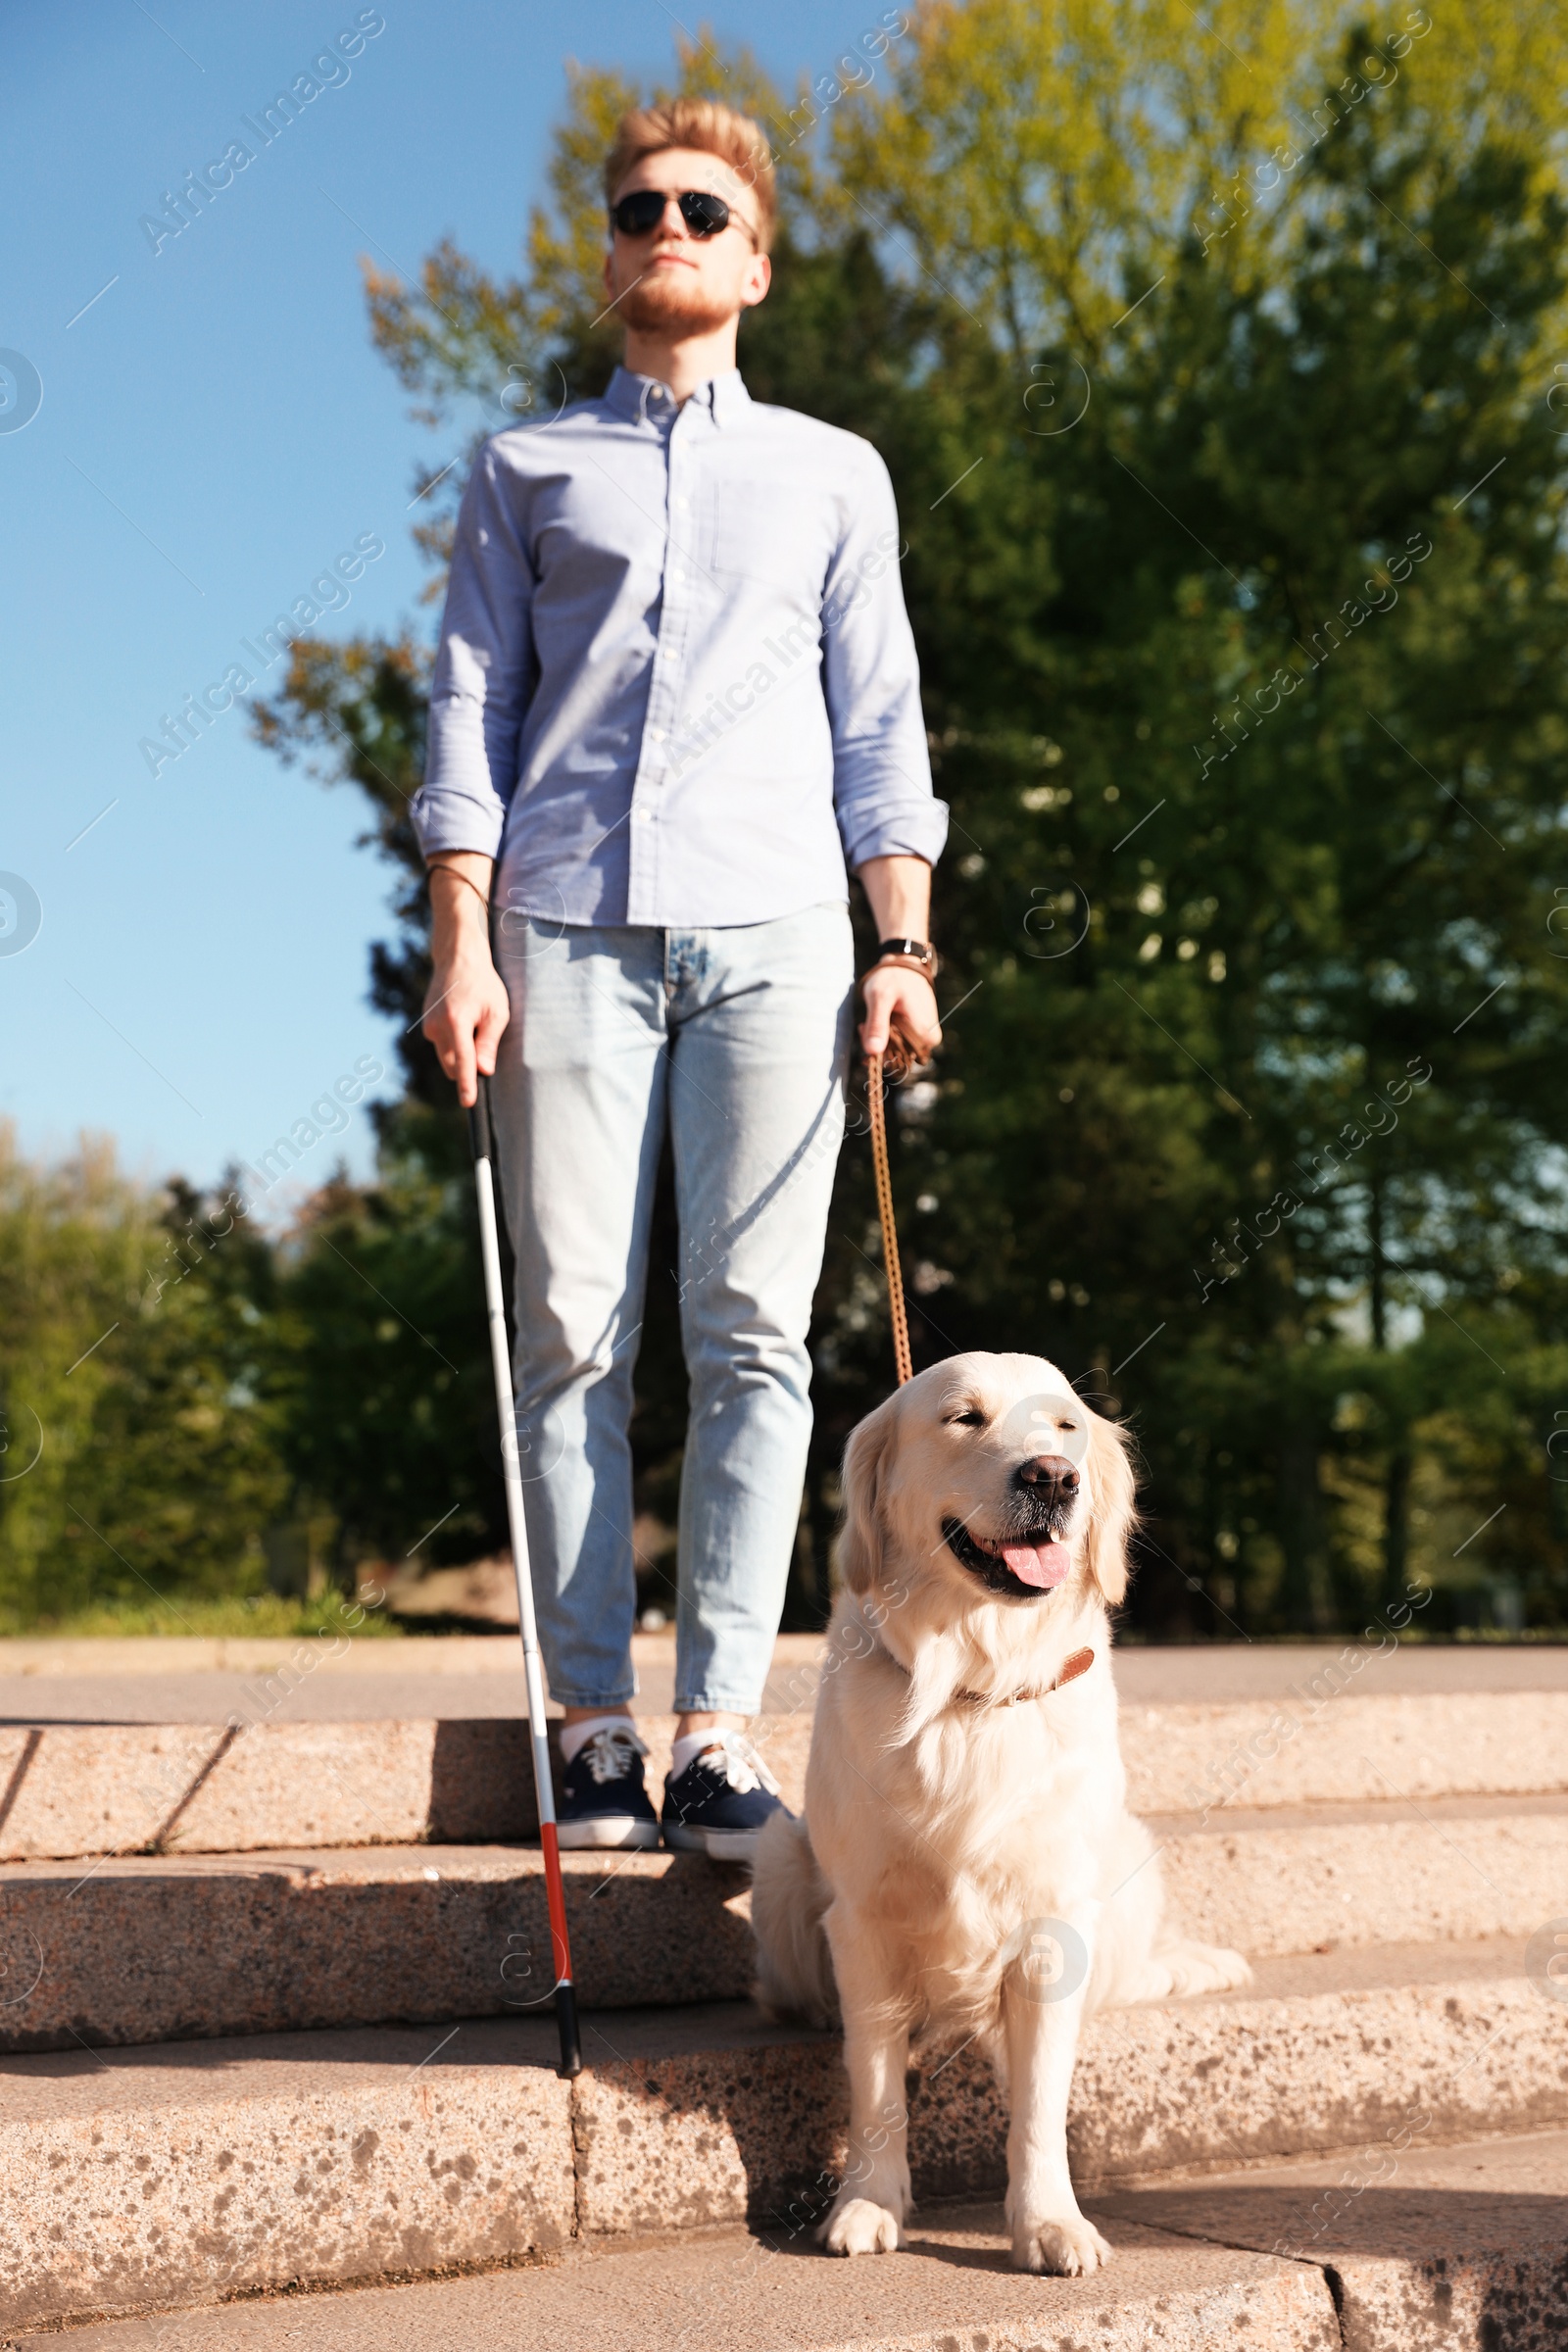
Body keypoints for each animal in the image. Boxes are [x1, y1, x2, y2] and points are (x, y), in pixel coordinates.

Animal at [752, 1354, 1259, 2267]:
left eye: (1065, 1428)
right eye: (964, 1418)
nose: (1052, 1478)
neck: (972, 1680)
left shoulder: (1054, 1925)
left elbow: (1039, 2108)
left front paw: (1049, 2222)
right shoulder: (865, 1922)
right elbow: (874, 2082)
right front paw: (867, 2202)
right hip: (779, 1854)